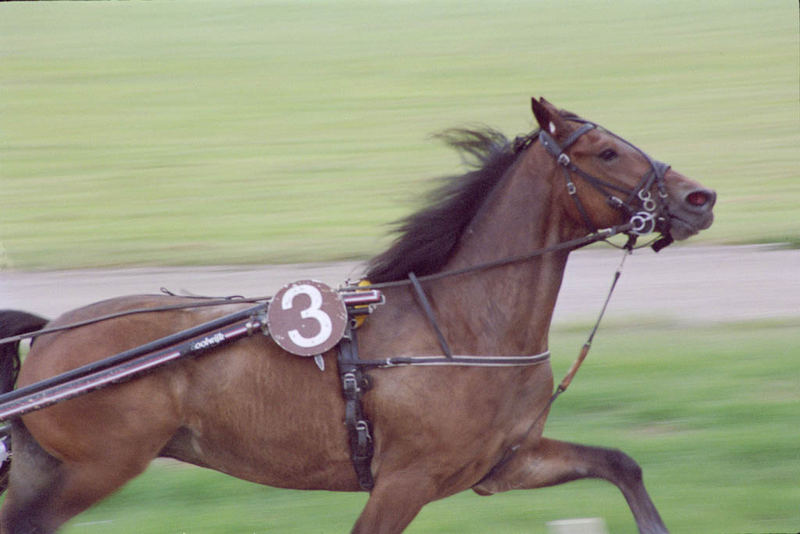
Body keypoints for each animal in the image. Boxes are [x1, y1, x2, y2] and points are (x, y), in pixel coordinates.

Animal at [0, 98, 712, 532]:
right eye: (606, 152)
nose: (699, 198)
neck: (461, 328)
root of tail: (52, 334)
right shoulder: (405, 481)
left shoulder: (503, 465)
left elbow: (621, 463)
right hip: (100, 465)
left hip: (55, 467)